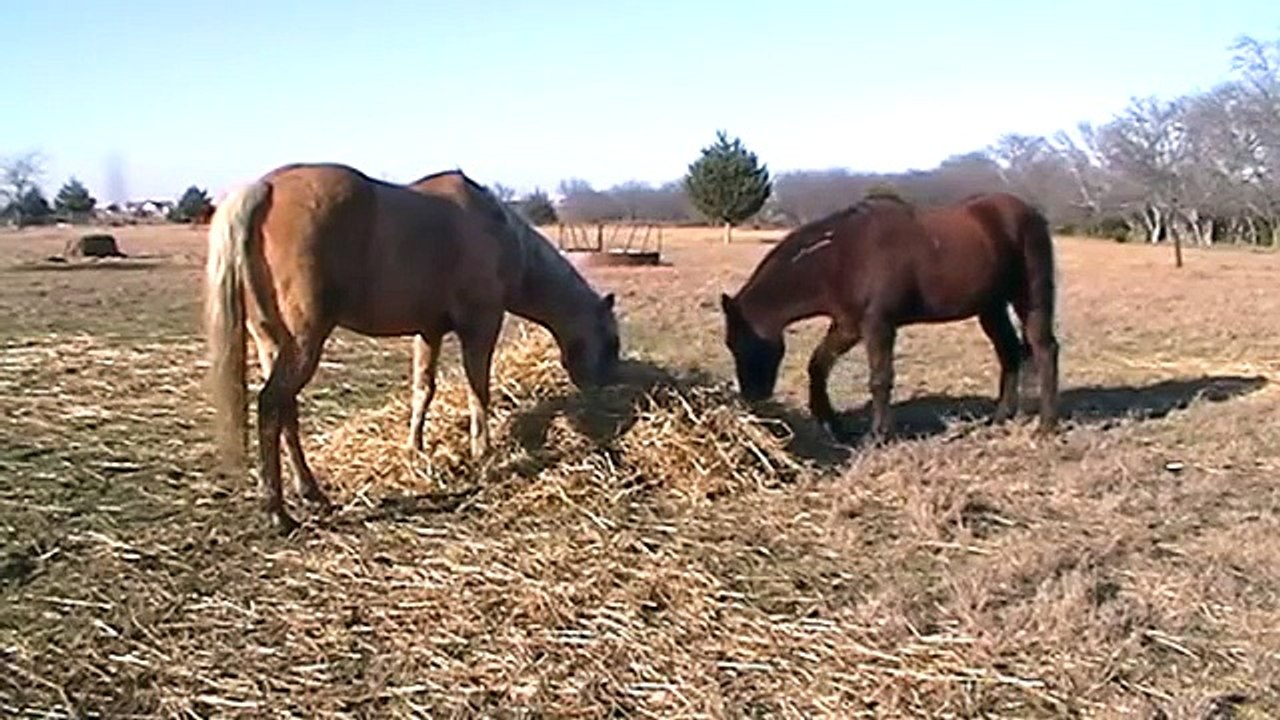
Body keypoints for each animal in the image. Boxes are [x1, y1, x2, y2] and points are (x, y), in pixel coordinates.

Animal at [204, 162, 621, 533]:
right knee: (271, 405)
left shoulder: (429, 332)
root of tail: (266, 189)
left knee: (285, 411)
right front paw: (483, 453)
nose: (604, 388)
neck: (497, 232)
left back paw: (312, 493)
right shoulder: (480, 326)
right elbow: (478, 391)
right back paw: (277, 512)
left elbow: (424, 390)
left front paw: (415, 448)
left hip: (271, 343)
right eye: (611, 342)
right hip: (304, 343)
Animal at [718, 191, 1059, 442]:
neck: (840, 256)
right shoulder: (848, 325)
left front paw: (879, 436)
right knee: (1009, 353)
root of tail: (1031, 214)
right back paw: (1000, 418)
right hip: (991, 307)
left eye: (740, 342)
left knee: (1044, 349)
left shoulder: (878, 325)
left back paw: (1046, 426)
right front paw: (832, 425)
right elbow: (818, 365)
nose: (753, 395)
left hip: (1030, 298)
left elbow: (880, 379)